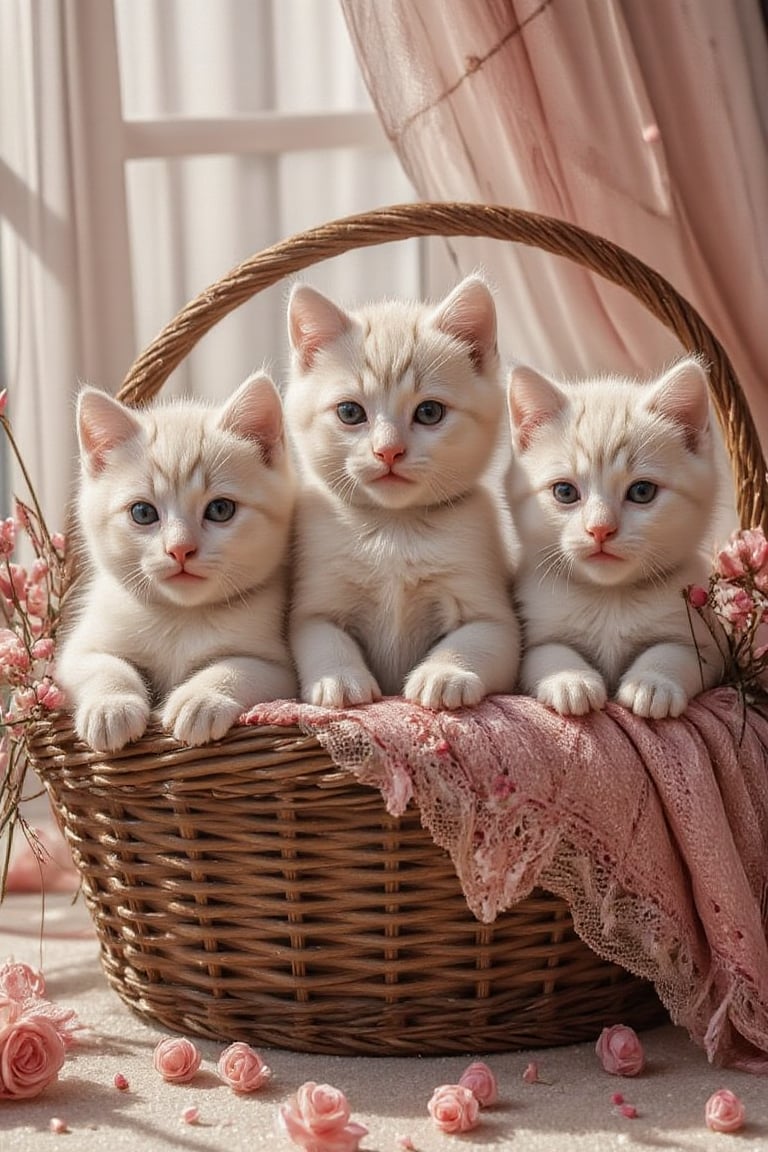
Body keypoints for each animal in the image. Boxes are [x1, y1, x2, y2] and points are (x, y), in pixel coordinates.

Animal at [56, 373, 297, 755]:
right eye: (142, 513)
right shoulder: (80, 647)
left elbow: (240, 667)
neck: (180, 617)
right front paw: (111, 705)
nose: (180, 548)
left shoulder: (282, 670)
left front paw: (200, 699)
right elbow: (101, 664)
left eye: (220, 509)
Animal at [285, 276, 520, 709]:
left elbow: (478, 637)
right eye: (349, 412)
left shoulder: (493, 613)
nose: (388, 450)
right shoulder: (314, 606)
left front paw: (444, 673)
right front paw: (340, 678)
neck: (395, 528)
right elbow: (324, 637)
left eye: (429, 412)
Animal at [506, 357, 723, 718]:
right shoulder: (533, 635)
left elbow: (677, 652)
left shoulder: (707, 643)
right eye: (565, 492)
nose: (600, 528)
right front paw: (570, 680)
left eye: (642, 491)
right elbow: (548, 651)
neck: (610, 599)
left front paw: (652, 682)